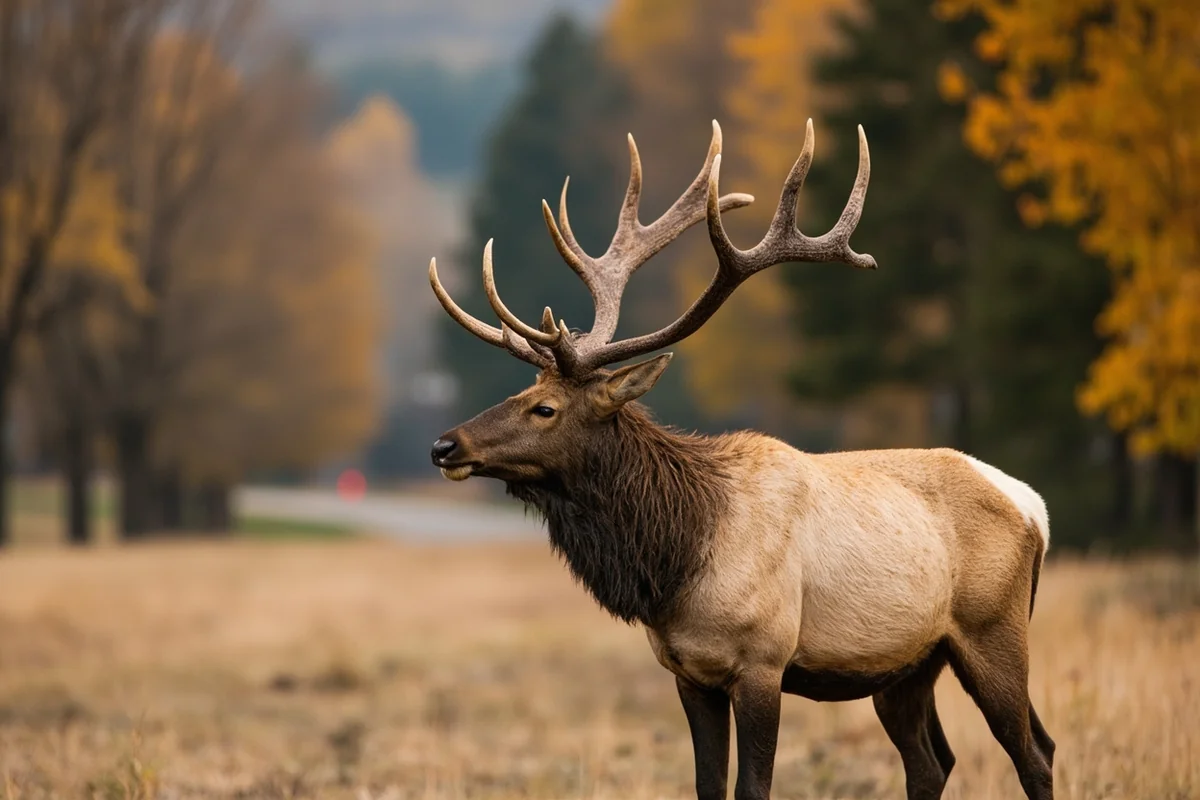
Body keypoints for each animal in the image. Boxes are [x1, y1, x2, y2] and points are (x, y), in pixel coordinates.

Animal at [427, 119, 1055, 800]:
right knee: (933, 760)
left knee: (1035, 752)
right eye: (520, 393)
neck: (679, 561)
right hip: (909, 662)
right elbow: (708, 784)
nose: (445, 445)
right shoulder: (688, 671)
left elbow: (752, 787)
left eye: (545, 408)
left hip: (994, 630)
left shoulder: (764, 660)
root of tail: (1035, 508)